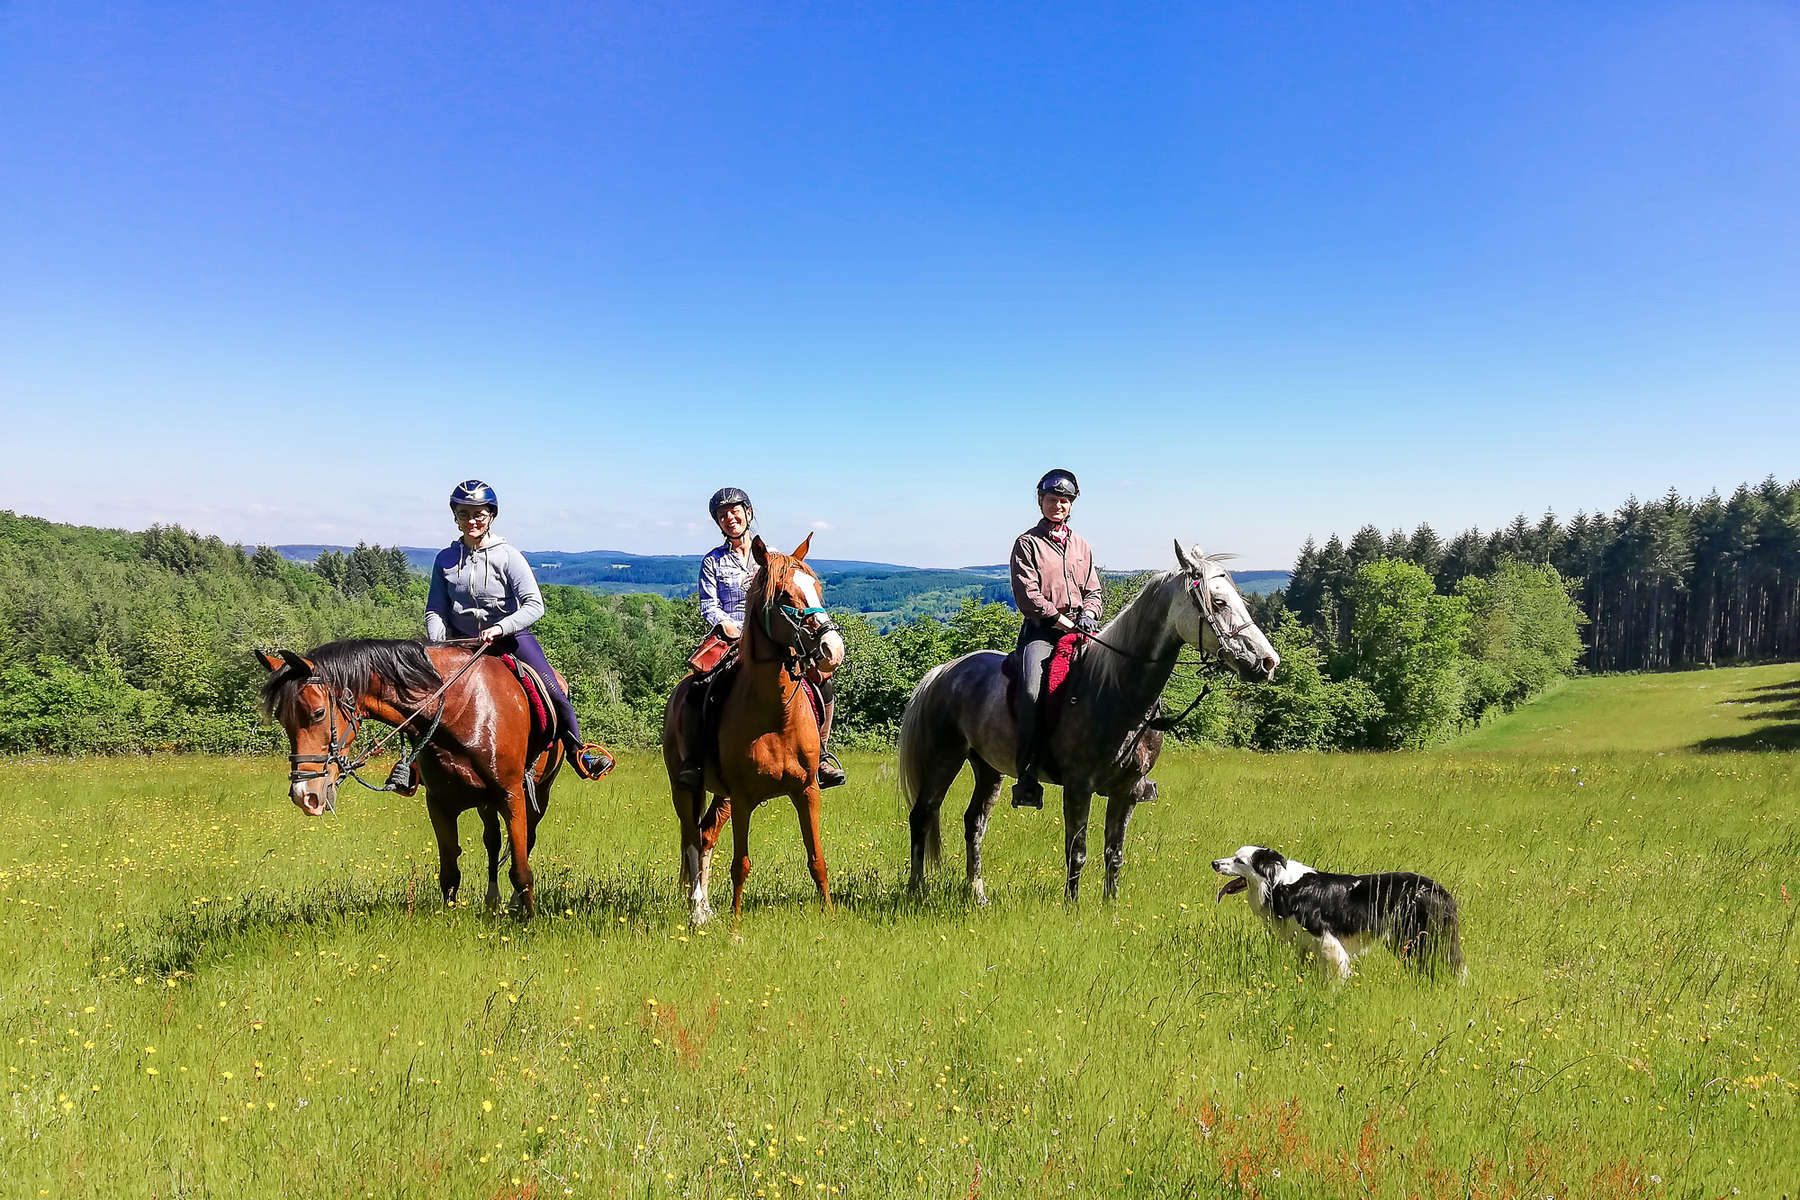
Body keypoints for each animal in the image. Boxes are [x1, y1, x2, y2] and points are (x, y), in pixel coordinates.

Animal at [257, 644, 558, 913]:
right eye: (281, 719)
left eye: (318, 713)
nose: (304, 795)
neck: (460, 708)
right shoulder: (440, 804)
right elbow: (449, 873)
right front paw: (450, 917)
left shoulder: (511, 795)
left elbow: (520, 869)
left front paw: (527, 921)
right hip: (485, 804)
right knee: (492, 842)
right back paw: (492, 901)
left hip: (538, 795)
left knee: (525, 841)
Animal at [666, 536, 846, 928]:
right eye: (784, 595)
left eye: (817, 587)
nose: (832, 650)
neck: (776, 716)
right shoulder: (744, 798)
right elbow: (741, 865)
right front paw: (735, 925)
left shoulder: (806, 791)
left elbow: (817, 859)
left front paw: (829, 914)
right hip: (685, 789)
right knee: (691, 839)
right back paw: (697, 909)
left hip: (722, 797)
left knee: (705, 835)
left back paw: (706, 908)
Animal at [900, 543, 1281, 899]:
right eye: (1218, 602)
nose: (1268, 662)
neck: (1115, 691)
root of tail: (943, 672)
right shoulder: (1078, 786)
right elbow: (1077, 851)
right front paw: (1072, 908)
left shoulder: (1127, 792)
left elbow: (1114, 854)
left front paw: (1110, 908)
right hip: (944, 758)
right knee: (923, 813)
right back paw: (916, 890)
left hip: (987, 768)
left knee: (974, 822)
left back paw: (977, 894)